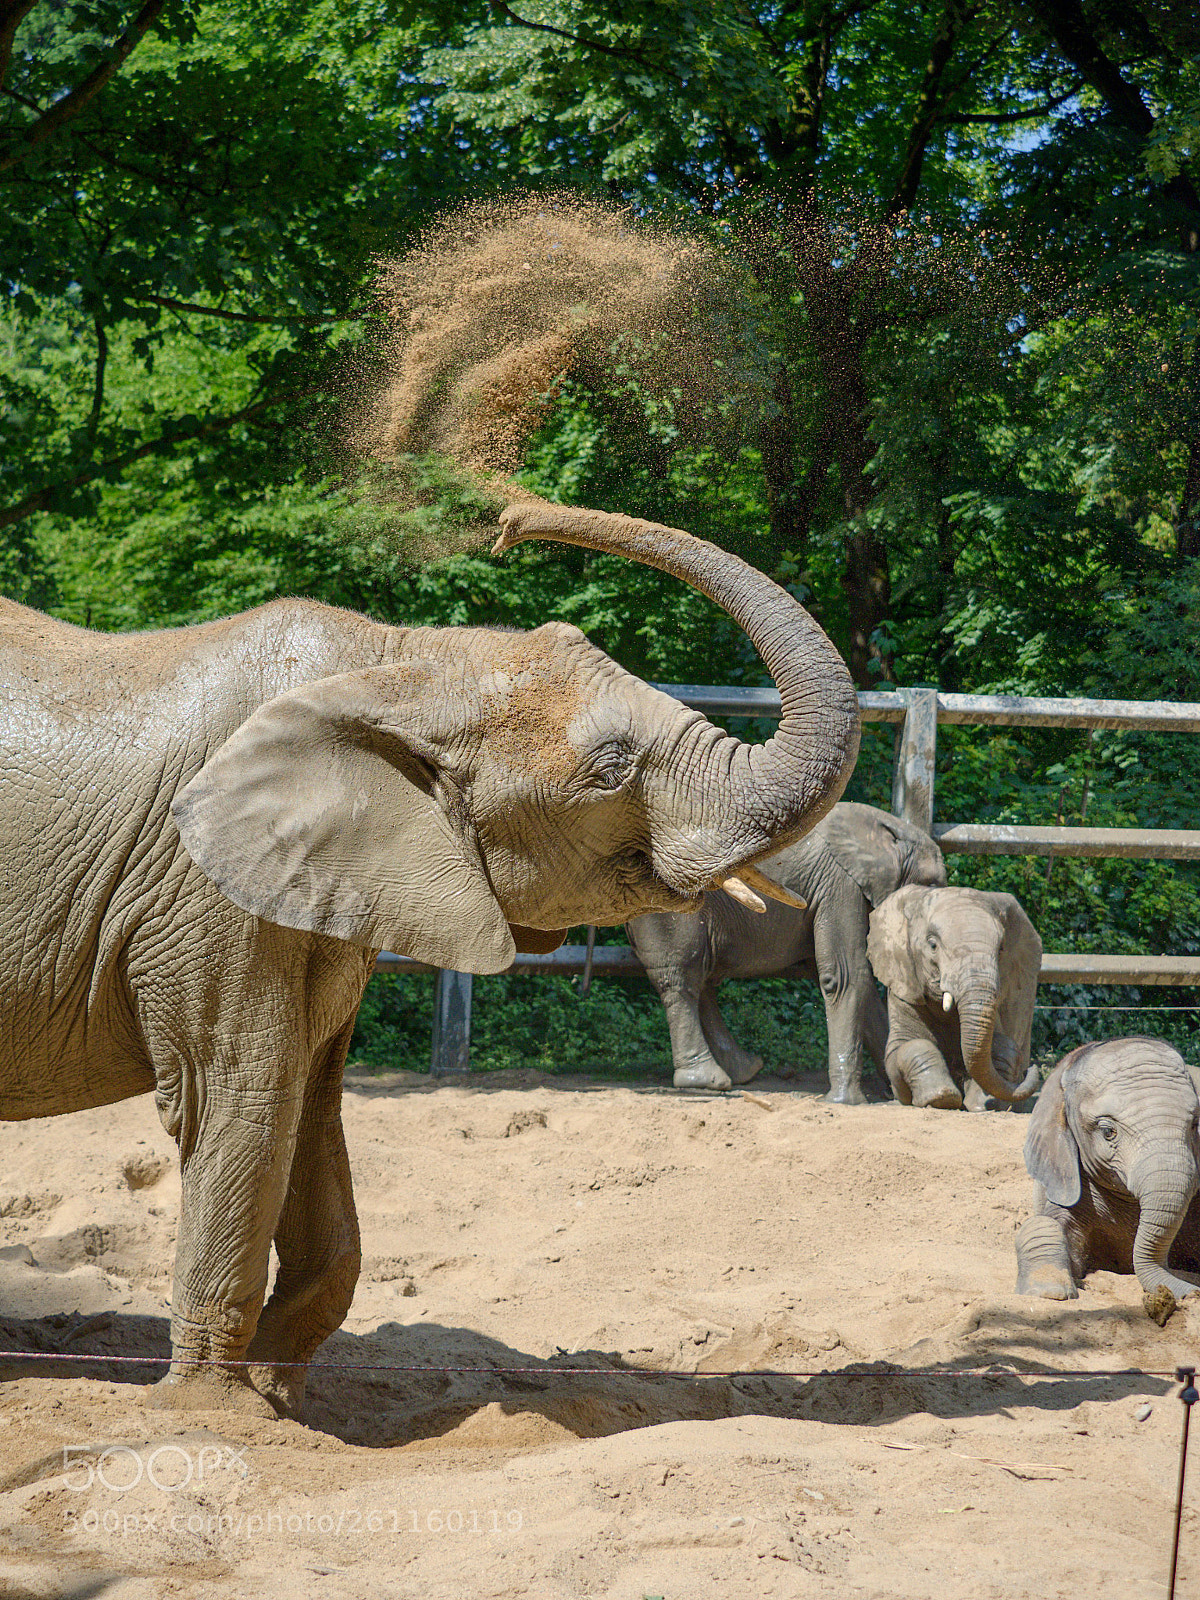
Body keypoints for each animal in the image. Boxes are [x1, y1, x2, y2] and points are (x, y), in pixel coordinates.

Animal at [0, 500, 860, 1416]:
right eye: (611, 770)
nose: (515, 518)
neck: (397, 661)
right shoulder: (201, 895)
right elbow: (242, 1093)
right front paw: (216, 1412)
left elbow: (312, 1100)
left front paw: (279, 1395)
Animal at [625, 802, 946, 1101]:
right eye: (931, 886)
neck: (888, 830)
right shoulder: (840, 884)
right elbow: (845, 975)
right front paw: (847, 1102)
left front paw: (893, 1092)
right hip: (665, 913)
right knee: (681, 979)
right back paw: (707, 1081)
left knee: (702, 981)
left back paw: (744, 1071)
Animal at [866, 885, 1042, 1111]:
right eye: (932, 945)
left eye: (1001, 948)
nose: (1031, 1069)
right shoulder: (905, 989)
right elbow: (905, 1048)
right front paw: (942, 1098)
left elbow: (1004, 1047)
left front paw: (983, 1104)